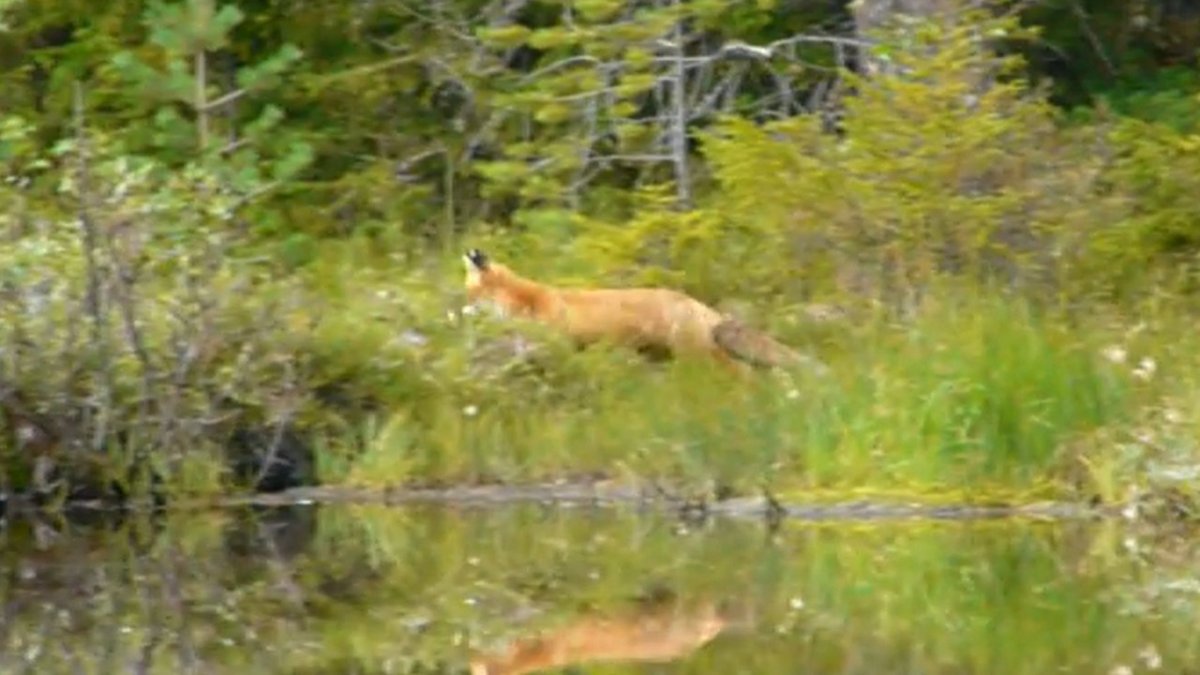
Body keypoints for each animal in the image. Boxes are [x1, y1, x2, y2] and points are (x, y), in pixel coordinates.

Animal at [461, 248, 825, 374]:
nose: (459, 312)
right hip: (663, 356)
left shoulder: (556, 348)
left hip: (697, 355)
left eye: (470, 293)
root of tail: (697, 303)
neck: (525, 302)